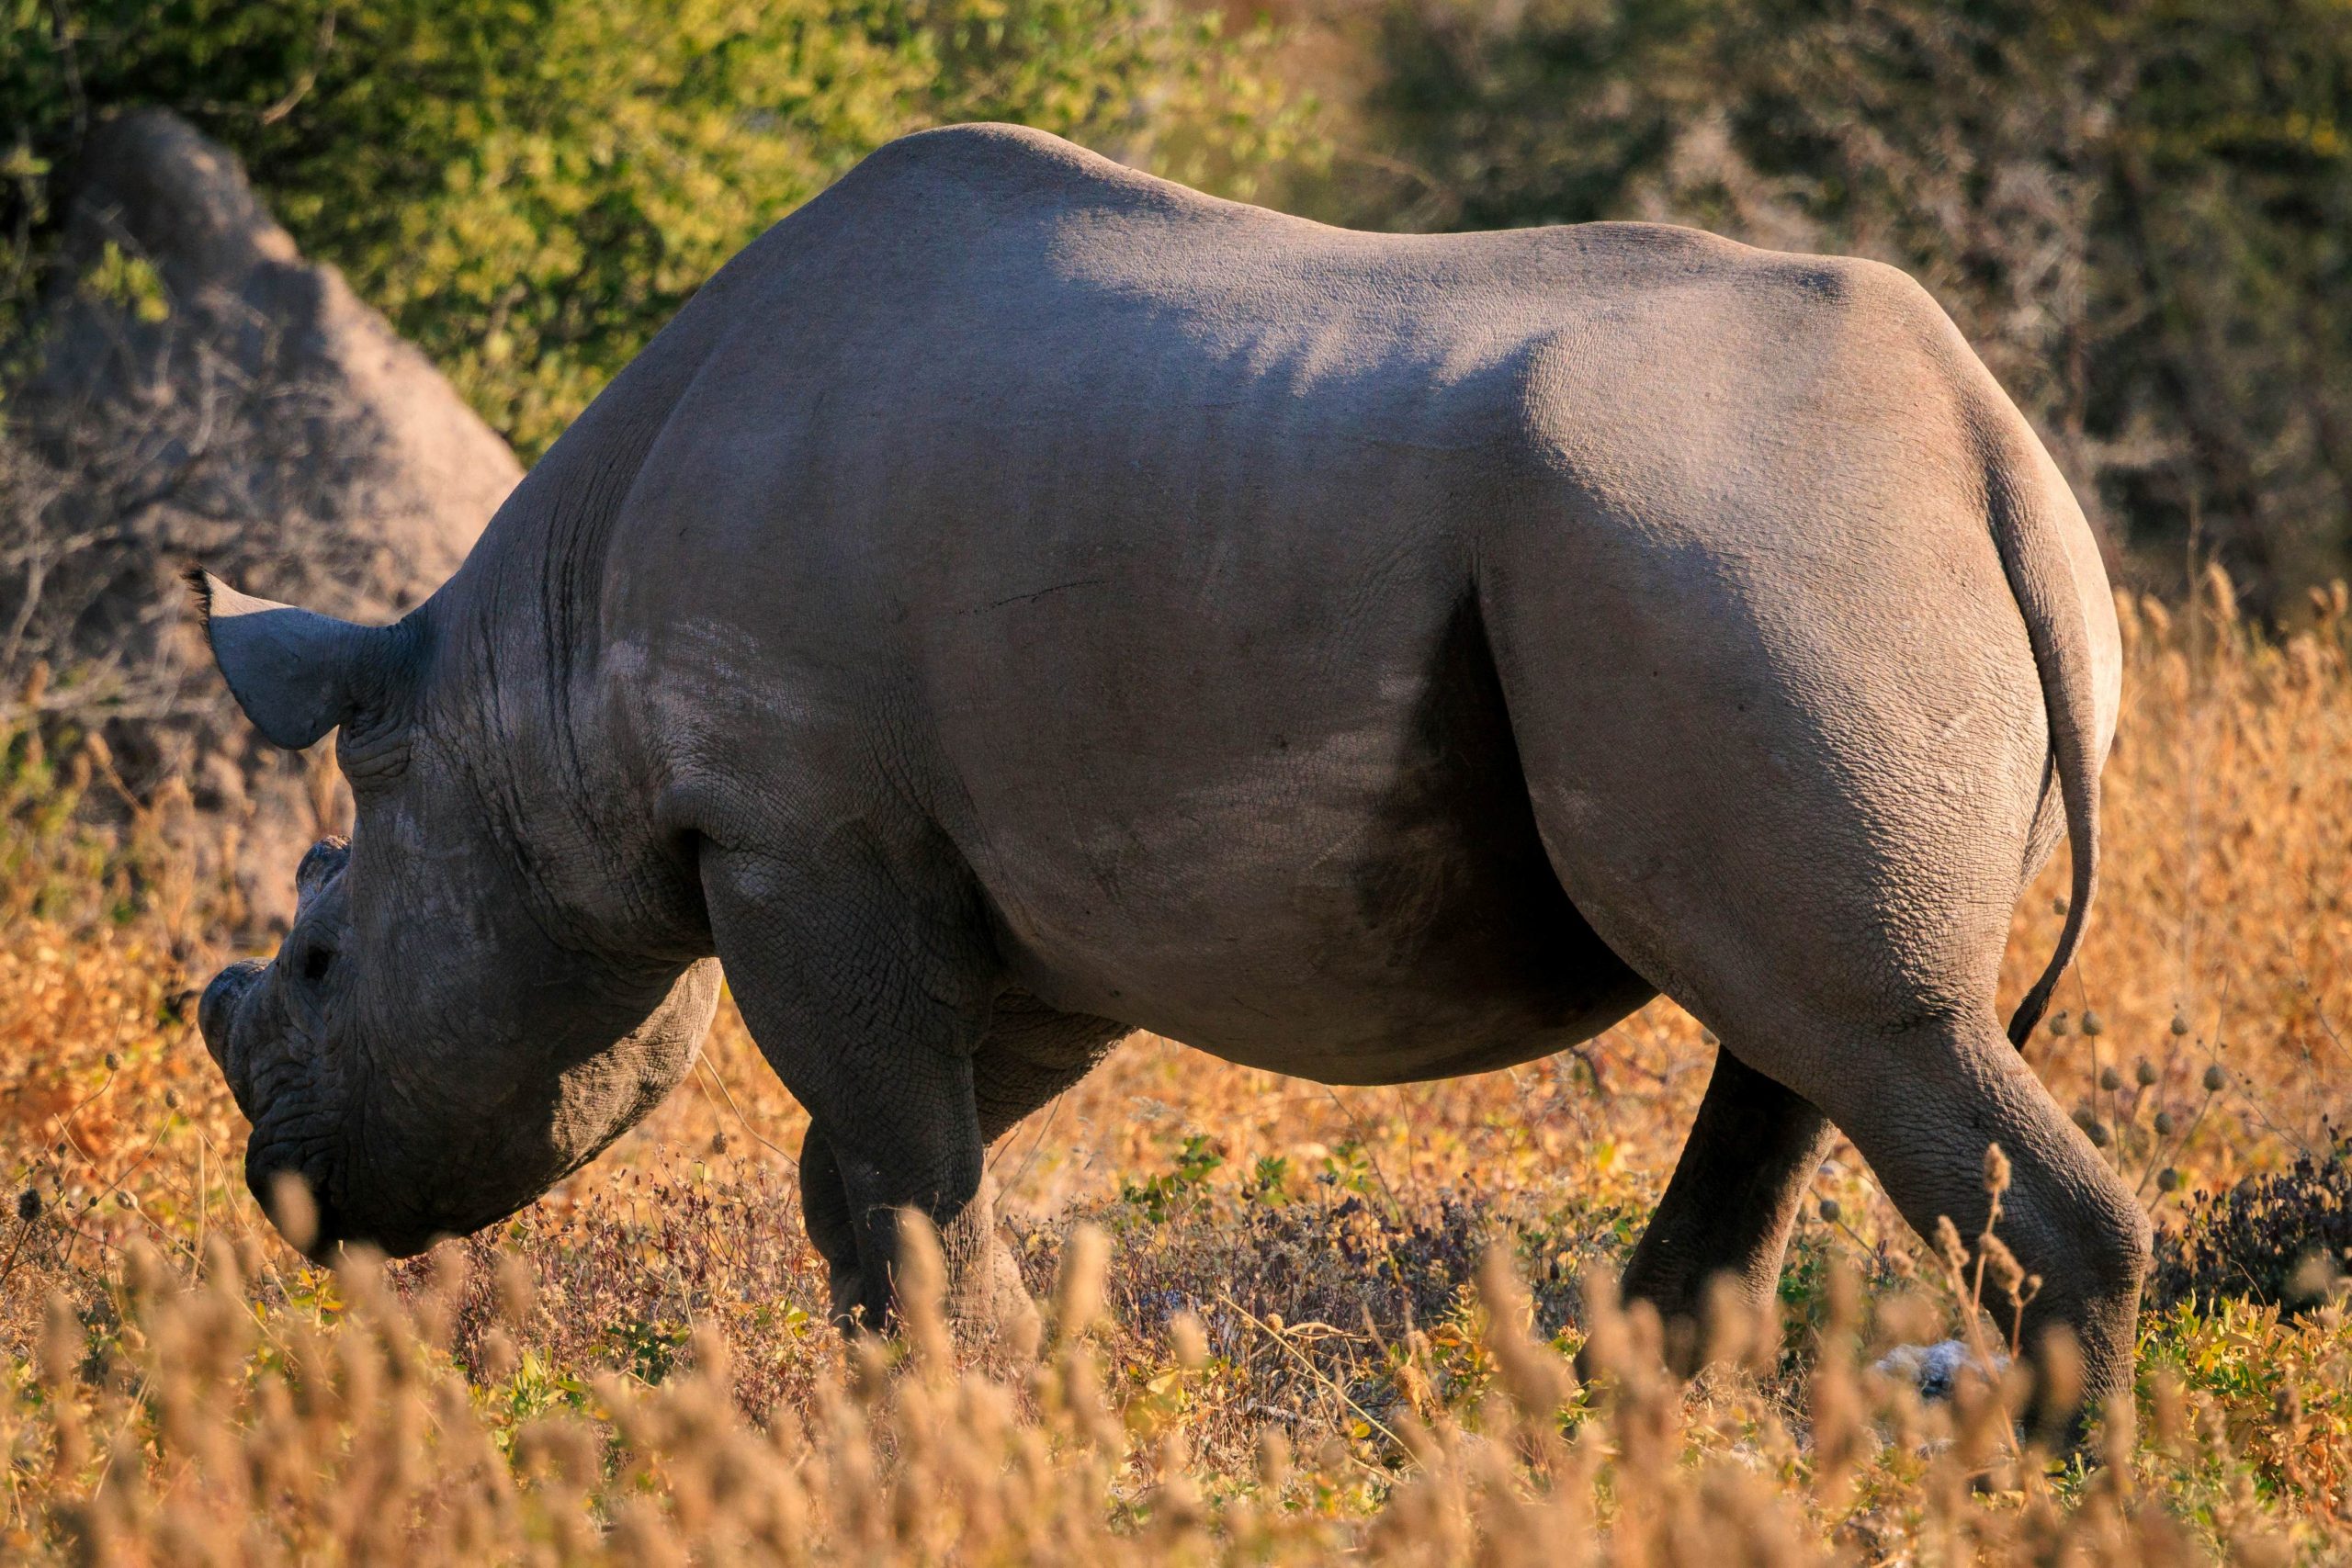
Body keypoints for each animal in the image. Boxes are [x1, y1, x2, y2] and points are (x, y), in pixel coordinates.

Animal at [195, 123, 2144, 1411]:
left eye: (319, 960)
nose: (290, 1201)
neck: (522, 698)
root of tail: (1985, 450)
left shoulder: (793, 831)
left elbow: (898, 1155)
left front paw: (968, 1420)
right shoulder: (1027, 898)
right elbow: (890, 1160)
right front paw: (916, 1408)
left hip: (1747, 555)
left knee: (1860, 1023)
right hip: (1790, 561)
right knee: (1809, 1034)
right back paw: (1616, 1430)